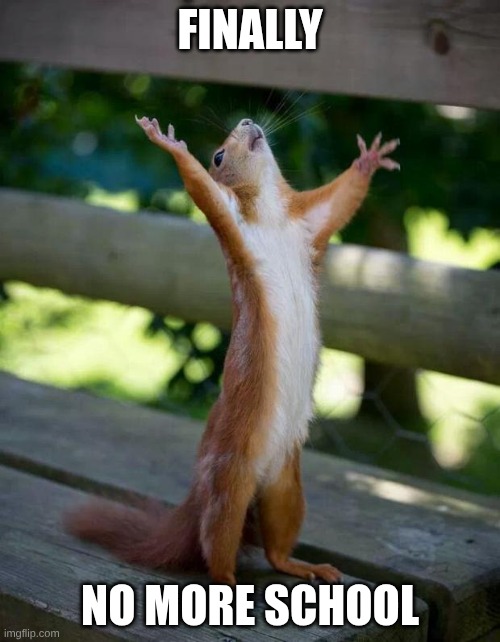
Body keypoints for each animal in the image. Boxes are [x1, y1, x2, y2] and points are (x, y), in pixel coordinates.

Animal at [66, 116, 399, 585]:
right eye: (219, 156)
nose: (247, 121)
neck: (273, 216)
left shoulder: (309, 222)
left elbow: (341, 200)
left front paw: (368, 159)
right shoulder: (230, 219)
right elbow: (201, 188)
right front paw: (169, 144)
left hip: (286, 488)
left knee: (276, 547)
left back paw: (305, 565)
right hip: (229, 484)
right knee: (216, 546)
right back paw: (229, 582)